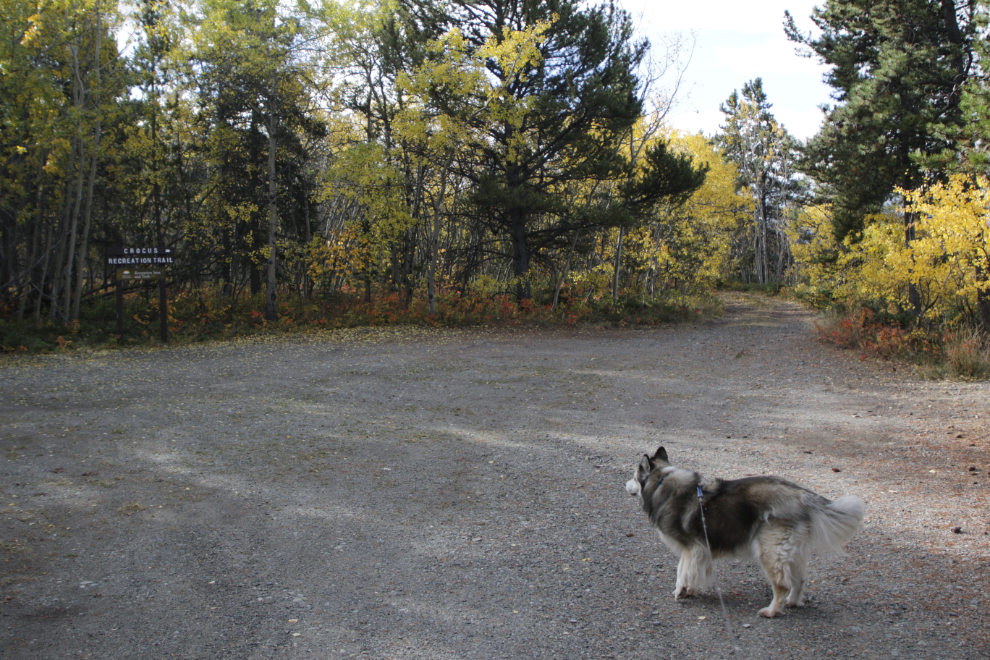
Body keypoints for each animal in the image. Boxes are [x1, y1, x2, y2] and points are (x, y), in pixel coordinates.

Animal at [632, 446, 864, 616]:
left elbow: (682, 571)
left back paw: (772, 611)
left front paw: (680, 591)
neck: (661, 481)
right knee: (799, 580)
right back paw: (792, 603)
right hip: (793, 552)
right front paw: (692, 590)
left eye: (634, 477)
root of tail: (802, 496)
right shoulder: (703, 550)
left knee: (782, 584)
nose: (626, 485)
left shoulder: (692, 548)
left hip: (769, 552)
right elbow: (696, 572)